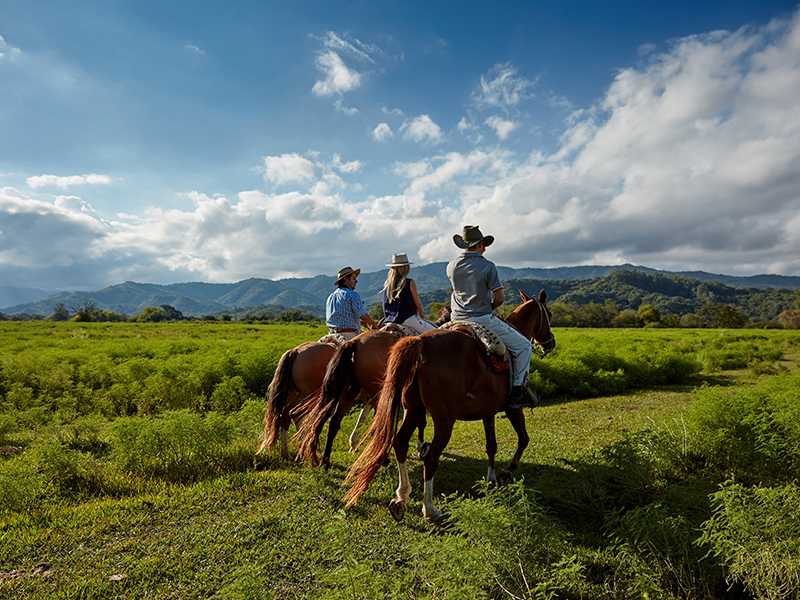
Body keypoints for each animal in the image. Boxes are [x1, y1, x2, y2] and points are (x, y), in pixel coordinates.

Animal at [344, 290, 556, 520]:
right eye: (549, 315)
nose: (550, 343)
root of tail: (420, 342)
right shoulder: (512, 408)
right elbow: (523, 438)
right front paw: (506, 473)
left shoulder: (488, 411)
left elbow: (491, 444)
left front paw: (490, 477)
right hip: (444, 419)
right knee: (431, 458)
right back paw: (429, 509)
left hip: (412, 408)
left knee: (398, 440)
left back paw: (400, 497)